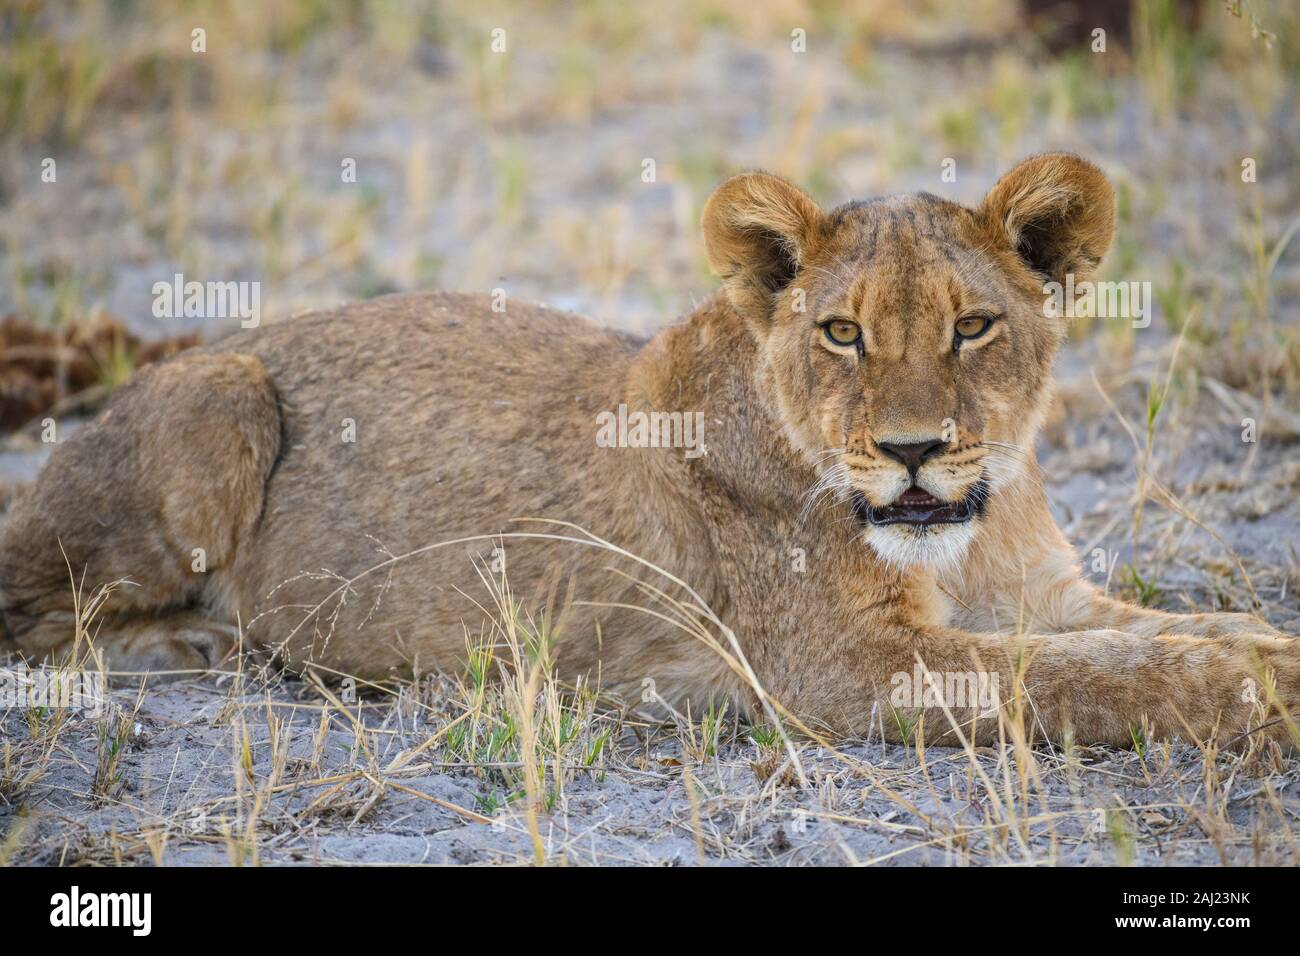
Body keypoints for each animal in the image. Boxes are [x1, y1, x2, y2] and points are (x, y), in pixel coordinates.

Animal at [1, 153, 1295, 746]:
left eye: (972, 325)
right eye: (841, 332)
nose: (915, 450)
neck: (964, 535)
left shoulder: (1038, 594)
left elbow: (1149, 633)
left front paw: (1260, 648)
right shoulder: (837, 668)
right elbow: (1086, 676)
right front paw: (1253, 688)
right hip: (221, 397)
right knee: (33, 608)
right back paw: (191, 647)